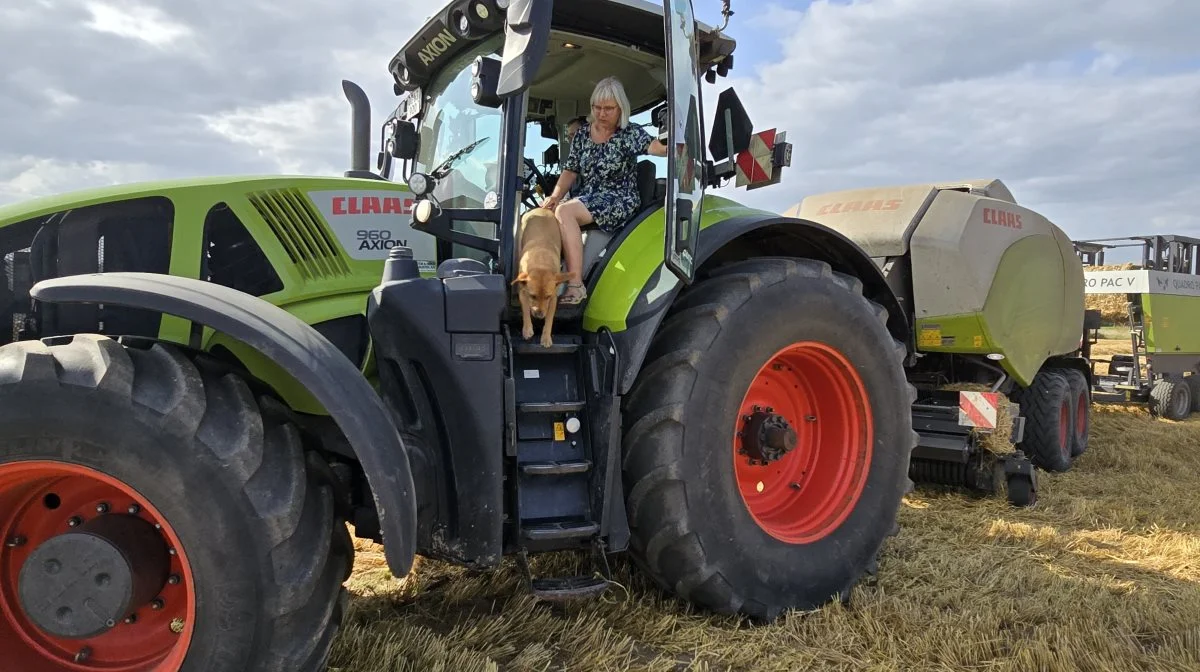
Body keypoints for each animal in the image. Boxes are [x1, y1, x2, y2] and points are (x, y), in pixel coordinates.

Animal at [511, 208, 571, 345]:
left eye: (547, 296)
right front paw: (527, 328)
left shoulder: (553, 298)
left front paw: (546, 337)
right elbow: (526, 310)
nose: (539, 315)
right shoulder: (523, 292)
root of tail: (542, 208)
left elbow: (549, 318)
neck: (541, 262)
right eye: (532, 296)